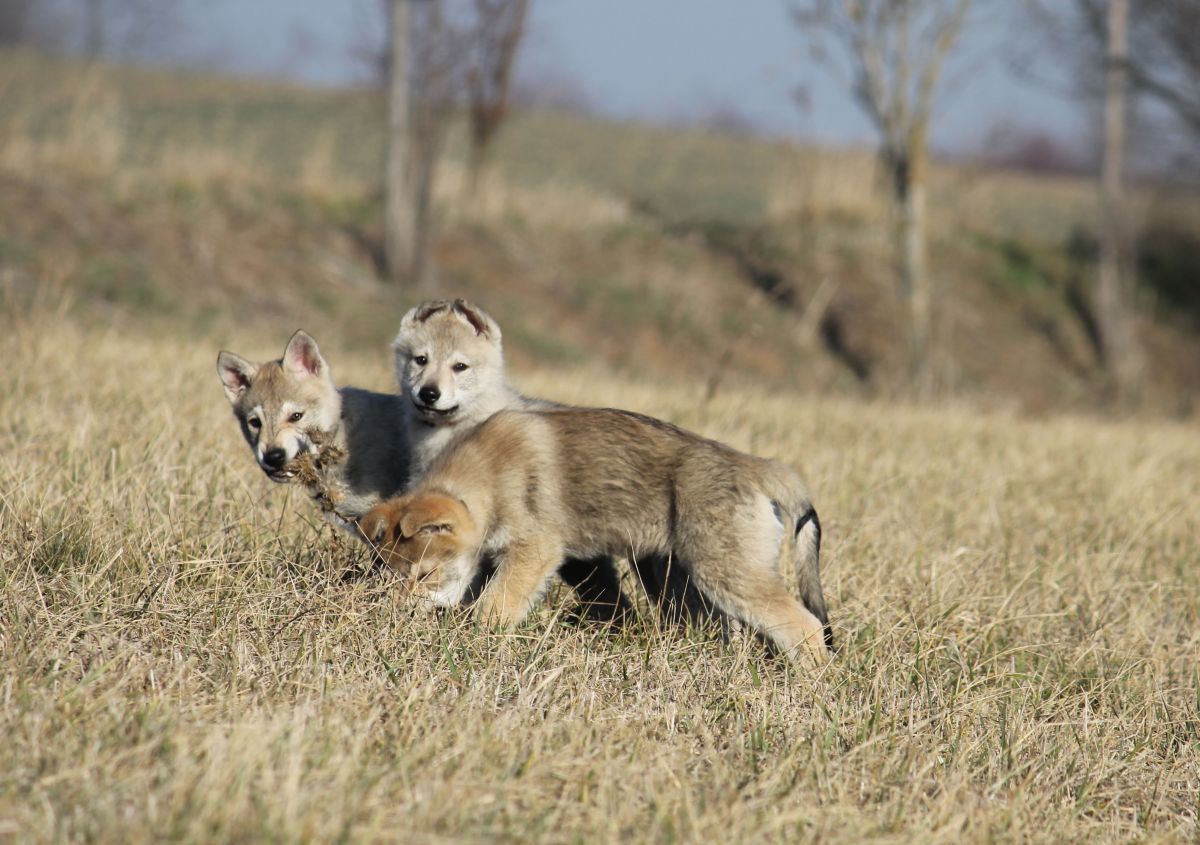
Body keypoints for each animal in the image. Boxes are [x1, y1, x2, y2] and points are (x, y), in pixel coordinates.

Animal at [360, 405, 835, 662]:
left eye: (424, 575)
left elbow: (491, 611)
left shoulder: (535, 552)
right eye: (390, 577)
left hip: (726, 572)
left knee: (805, 627)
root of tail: (758, 467)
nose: (394, 618)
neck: (485, 475)